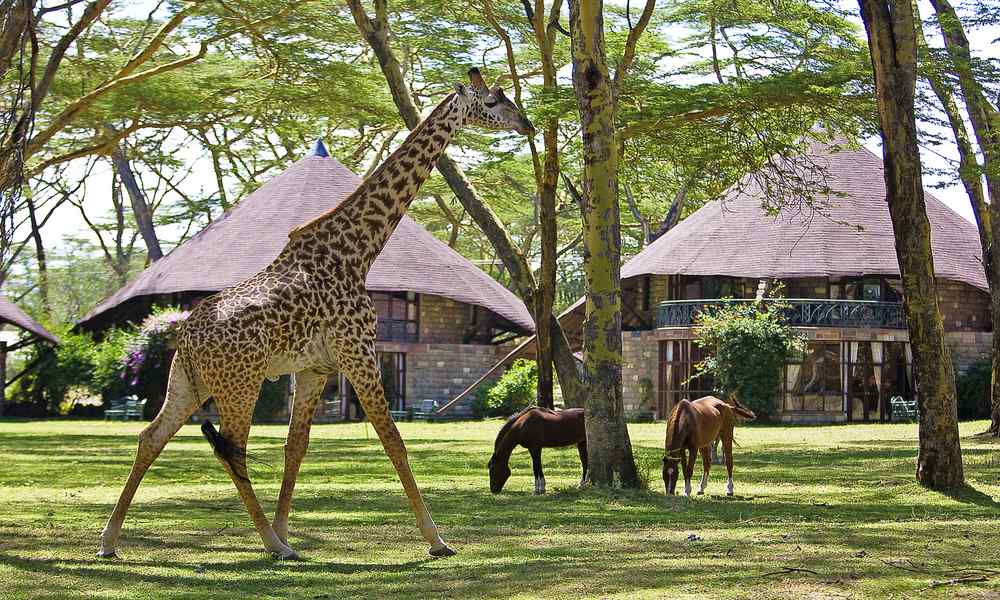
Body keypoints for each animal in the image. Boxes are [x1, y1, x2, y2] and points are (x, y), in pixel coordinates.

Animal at [99, 70, 540, 564]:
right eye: (494, 100)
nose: (527, 124)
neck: (358, 252)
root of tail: (188, 336)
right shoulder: (359, 353)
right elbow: (393, 440)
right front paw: (436, 539)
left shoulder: (315, 368)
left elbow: (297, 448)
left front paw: (285, 528)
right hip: (239, 384)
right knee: (232, 448)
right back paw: (272, 546)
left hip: (187, 381)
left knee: (151, 438)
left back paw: (110, 541)